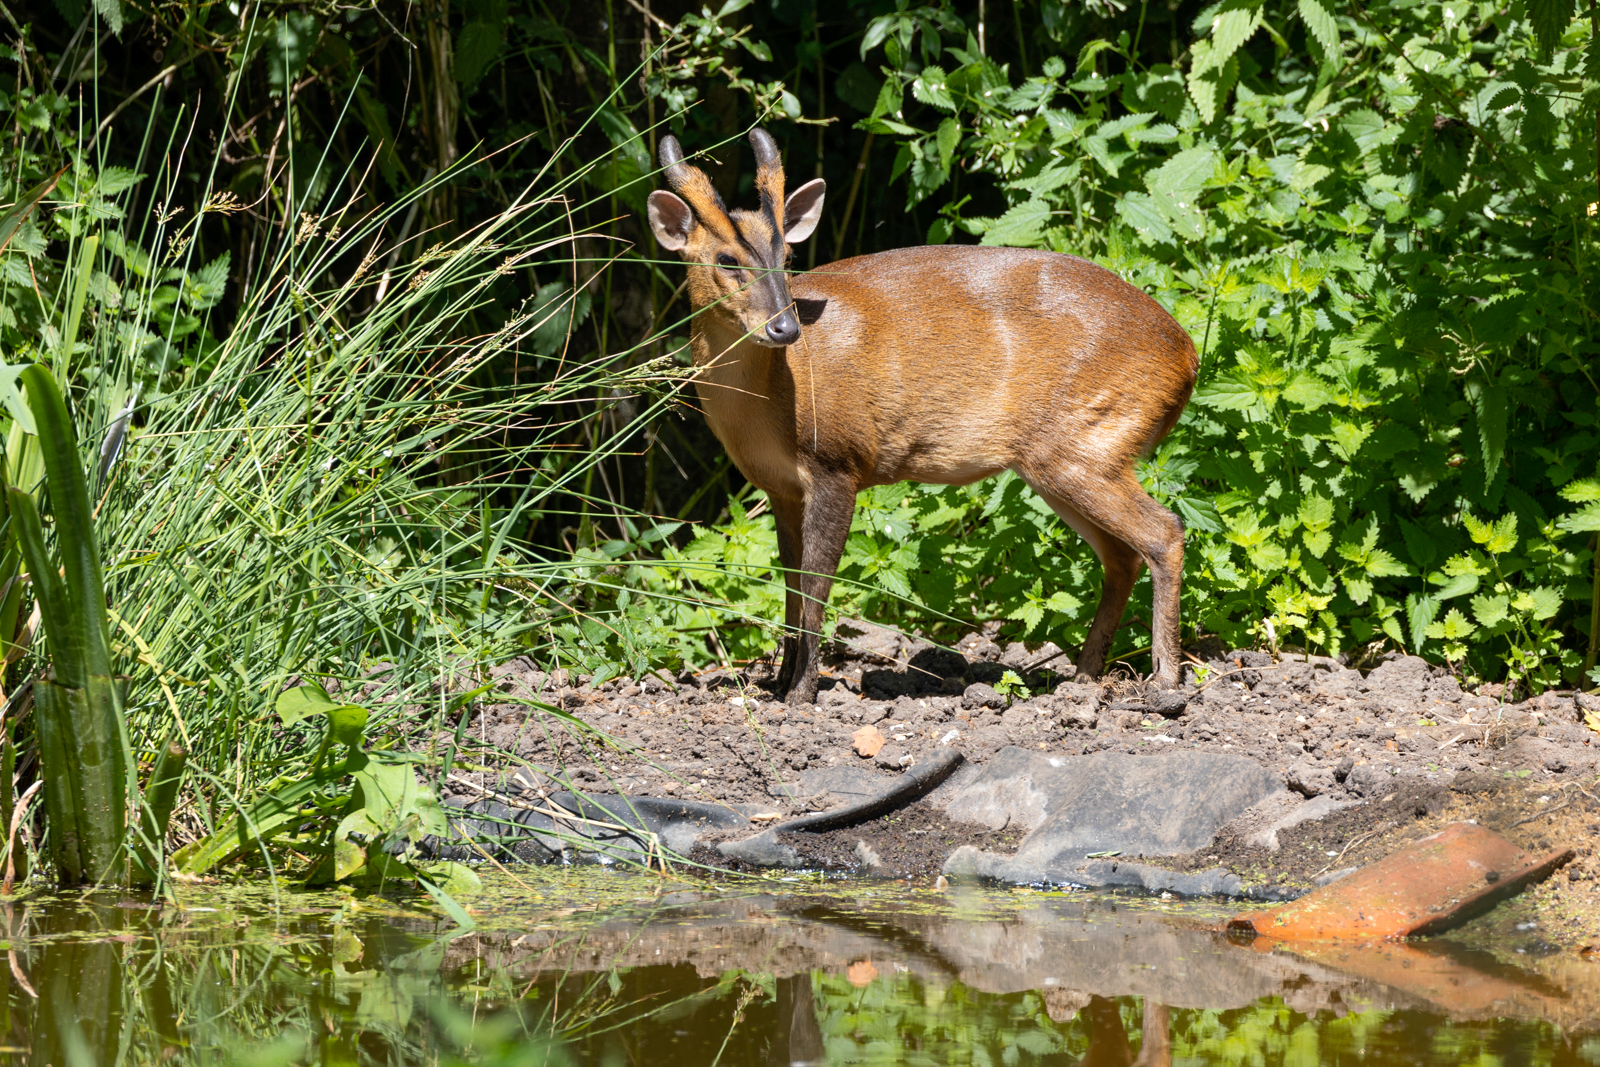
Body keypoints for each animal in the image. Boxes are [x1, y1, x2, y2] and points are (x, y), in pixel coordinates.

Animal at [647, 129, 1197, 706]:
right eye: (726, 259)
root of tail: (1187, 357)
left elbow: (817, 588)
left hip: (1084, 442)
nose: (785, 328)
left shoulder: (838, 464)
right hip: (1068, 459)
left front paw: (801, 696)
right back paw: (1084, 676)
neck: (774, 402)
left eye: (788, 255)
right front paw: (778, 683)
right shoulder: (780, 486)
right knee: (1121, 557)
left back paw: (1165, 679)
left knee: (1163, 533)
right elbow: (791, 585)